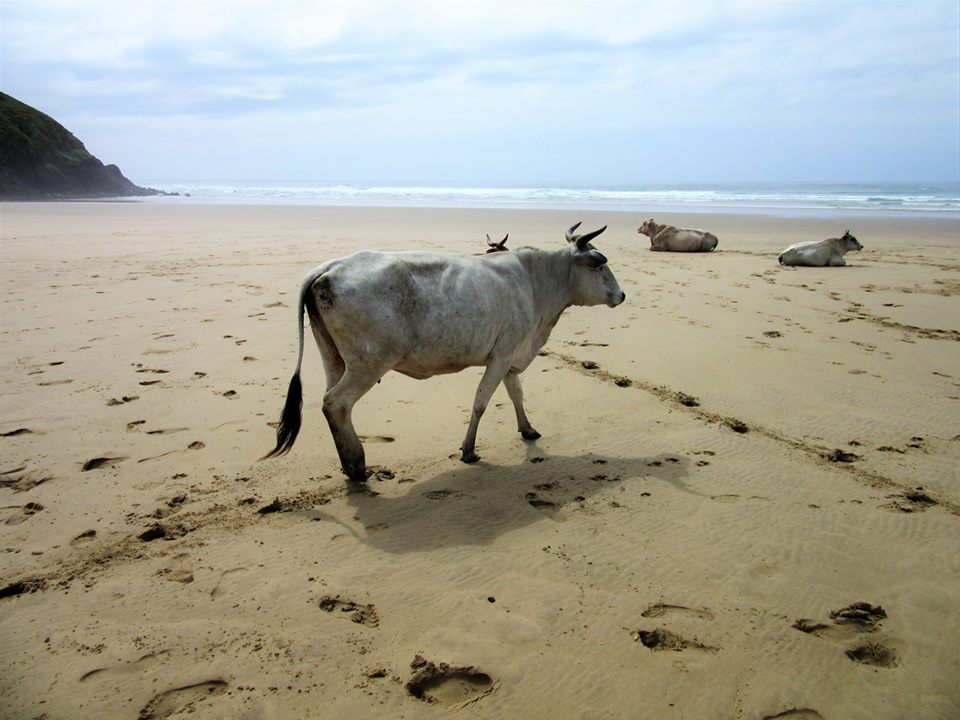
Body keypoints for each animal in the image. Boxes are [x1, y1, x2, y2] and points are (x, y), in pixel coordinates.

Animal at [262, 222, 628, 480]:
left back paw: (348, 462)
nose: (622, 295)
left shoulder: (511, 356)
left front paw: (527, 430)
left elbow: (516, 394)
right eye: (599, 265)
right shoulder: (503, 355)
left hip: (334, 358)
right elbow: (481, 402)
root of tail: (331, 266)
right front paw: (468, 450)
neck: (536, 281)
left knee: (332, 402)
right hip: (369, 363)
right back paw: (357, 466)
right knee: (336, 403)